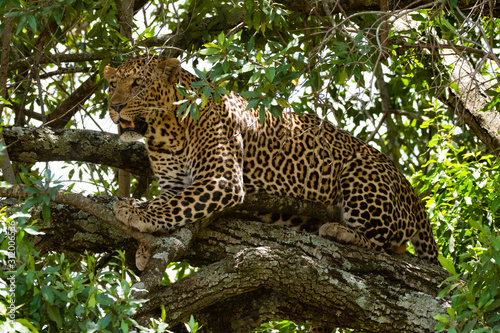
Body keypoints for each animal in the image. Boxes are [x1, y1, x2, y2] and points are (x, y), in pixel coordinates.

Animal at [103, 55, 440, 272]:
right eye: (111, 86)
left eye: (137, 84)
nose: (114, 106)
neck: (166, 132)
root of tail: (410, 190)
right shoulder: (174, 184)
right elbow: (169, 202)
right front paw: (142, 240)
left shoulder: (221, 179)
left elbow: (175, 205)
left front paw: (133, 212)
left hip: (361, 173)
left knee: (388, 241)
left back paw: (341, 232)